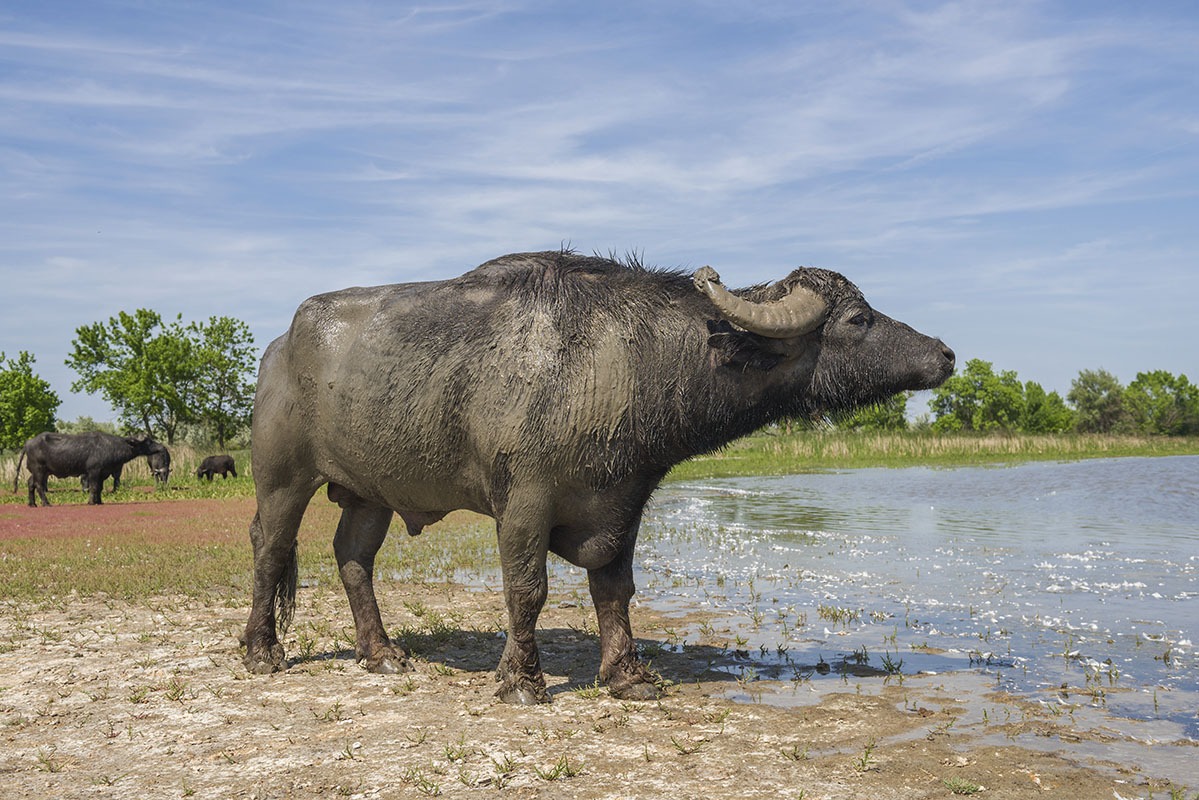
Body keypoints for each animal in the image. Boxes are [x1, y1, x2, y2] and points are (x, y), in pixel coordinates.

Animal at [15, 431, 166, 506]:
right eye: (148, 441)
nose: (160, 447)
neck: (112, 447)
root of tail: (28, 443)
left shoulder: (103, 474)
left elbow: (99, 488)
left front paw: (99, 502)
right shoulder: (93, 472)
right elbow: (93, 487)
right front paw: (91, 502)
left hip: (38, 471)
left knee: (30, 483)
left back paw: (32, 504)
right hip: (39, 470)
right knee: (39, 485)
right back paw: (46, 503)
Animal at [243, 247, 954, 705]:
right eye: (858, 320)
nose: (946, 354)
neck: (626, 359)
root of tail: (277, 347)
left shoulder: (622, 499)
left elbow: (615, 588)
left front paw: (627, 674)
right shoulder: (523, 500)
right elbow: (527, 589)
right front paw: (521, 681)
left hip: (371, 493)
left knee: (352, 557)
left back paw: (382, 653)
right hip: (282, 478)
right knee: (271, 549)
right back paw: (261, 653)